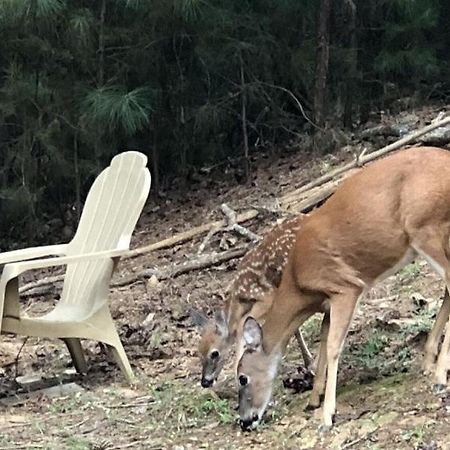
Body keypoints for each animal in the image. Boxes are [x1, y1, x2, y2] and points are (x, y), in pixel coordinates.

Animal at [192, 214, 314, 386]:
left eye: (214, 353)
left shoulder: (267, 297)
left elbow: (242, 328)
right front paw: (308, 364)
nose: (205, 382)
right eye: (198, 352)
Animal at [237, 146, 450, 430]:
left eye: (242, 377)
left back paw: (439, 374)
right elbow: (322, 345)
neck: (298, 283)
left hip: (426, 227)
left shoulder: (344, 286)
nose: (244, 420)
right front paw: (314, 399)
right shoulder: (327, 302)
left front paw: (327, 415)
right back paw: (429, 361)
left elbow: (333, 347)